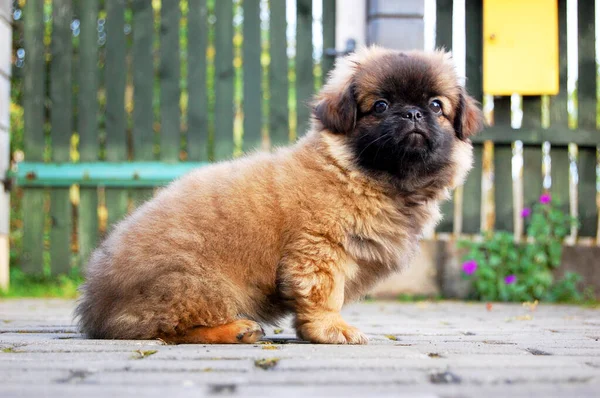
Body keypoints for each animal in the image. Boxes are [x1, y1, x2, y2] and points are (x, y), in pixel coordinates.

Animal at [77, 45, 486, 346]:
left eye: (436, 105)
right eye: (381, 106)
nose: (413, 114)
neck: (363, 177)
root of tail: (98, 310)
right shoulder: (320, 251)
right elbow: (325, 296)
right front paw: (333, 329)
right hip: (199, 284)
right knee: (171, 331)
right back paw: (236, 330)